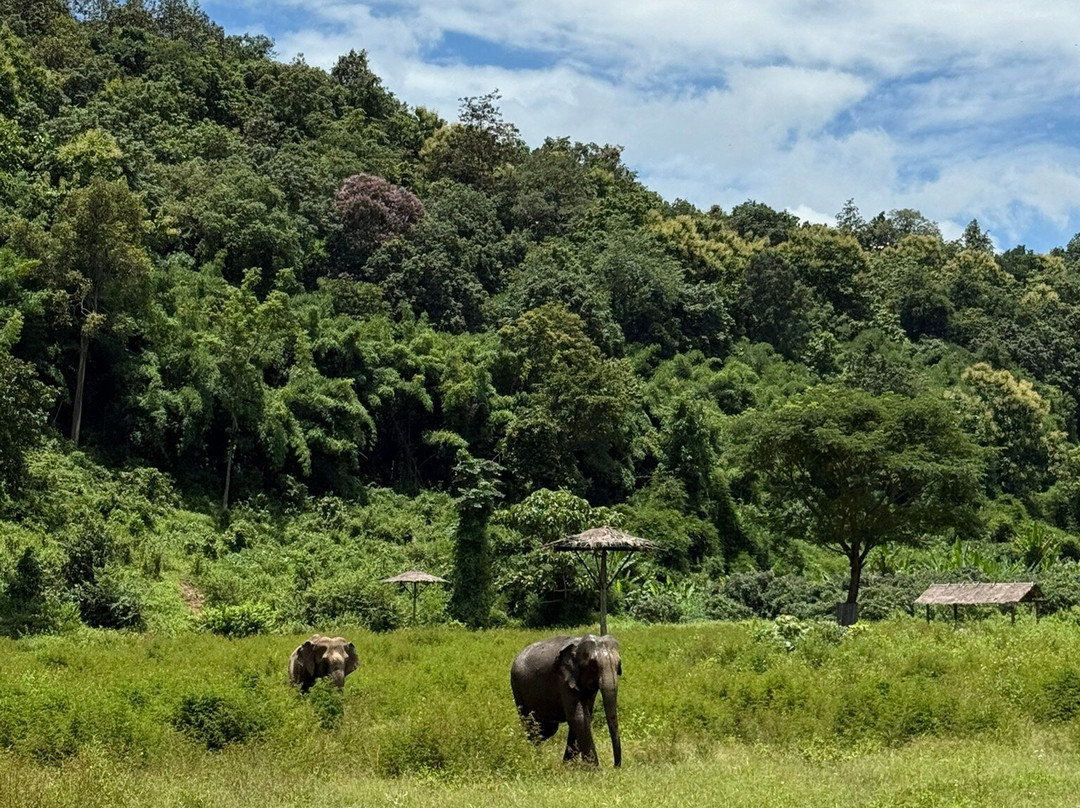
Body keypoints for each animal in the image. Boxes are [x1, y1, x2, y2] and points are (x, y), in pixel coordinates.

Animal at [510, 634, 622, 767]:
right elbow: (579, 718)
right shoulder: (563, 680)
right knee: (531, 724)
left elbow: (584, 716)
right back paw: (535, 757)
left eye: (619, 664)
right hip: (517, 688)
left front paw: (567, 766)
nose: (615, 767)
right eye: (593, 665)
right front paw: (593, 769)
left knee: (547, 729)